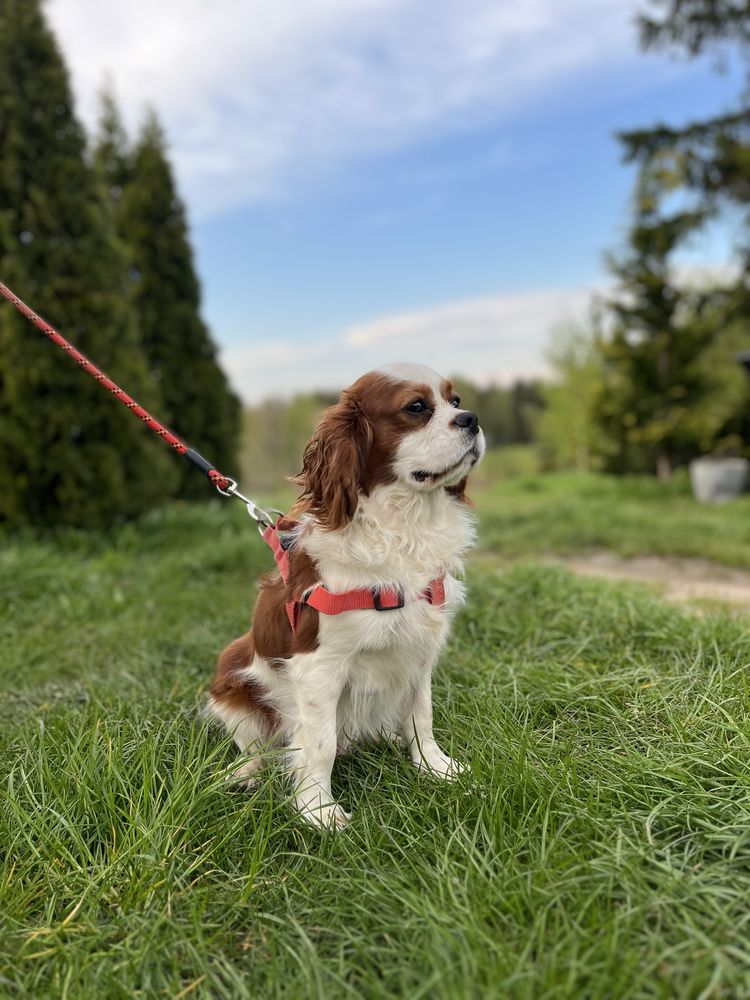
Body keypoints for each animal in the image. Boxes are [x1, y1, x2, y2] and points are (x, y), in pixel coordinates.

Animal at [209, 364, 484, 824]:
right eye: (416, 407)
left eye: (456, 400)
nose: (472, 419)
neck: (403, 528)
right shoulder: (320, 665)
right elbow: (320, 745)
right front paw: (319, 810)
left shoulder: (420, 651)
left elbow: (421, 717)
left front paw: (435, 768)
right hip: (232, 669)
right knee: (256, 747)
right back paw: (244, 773)